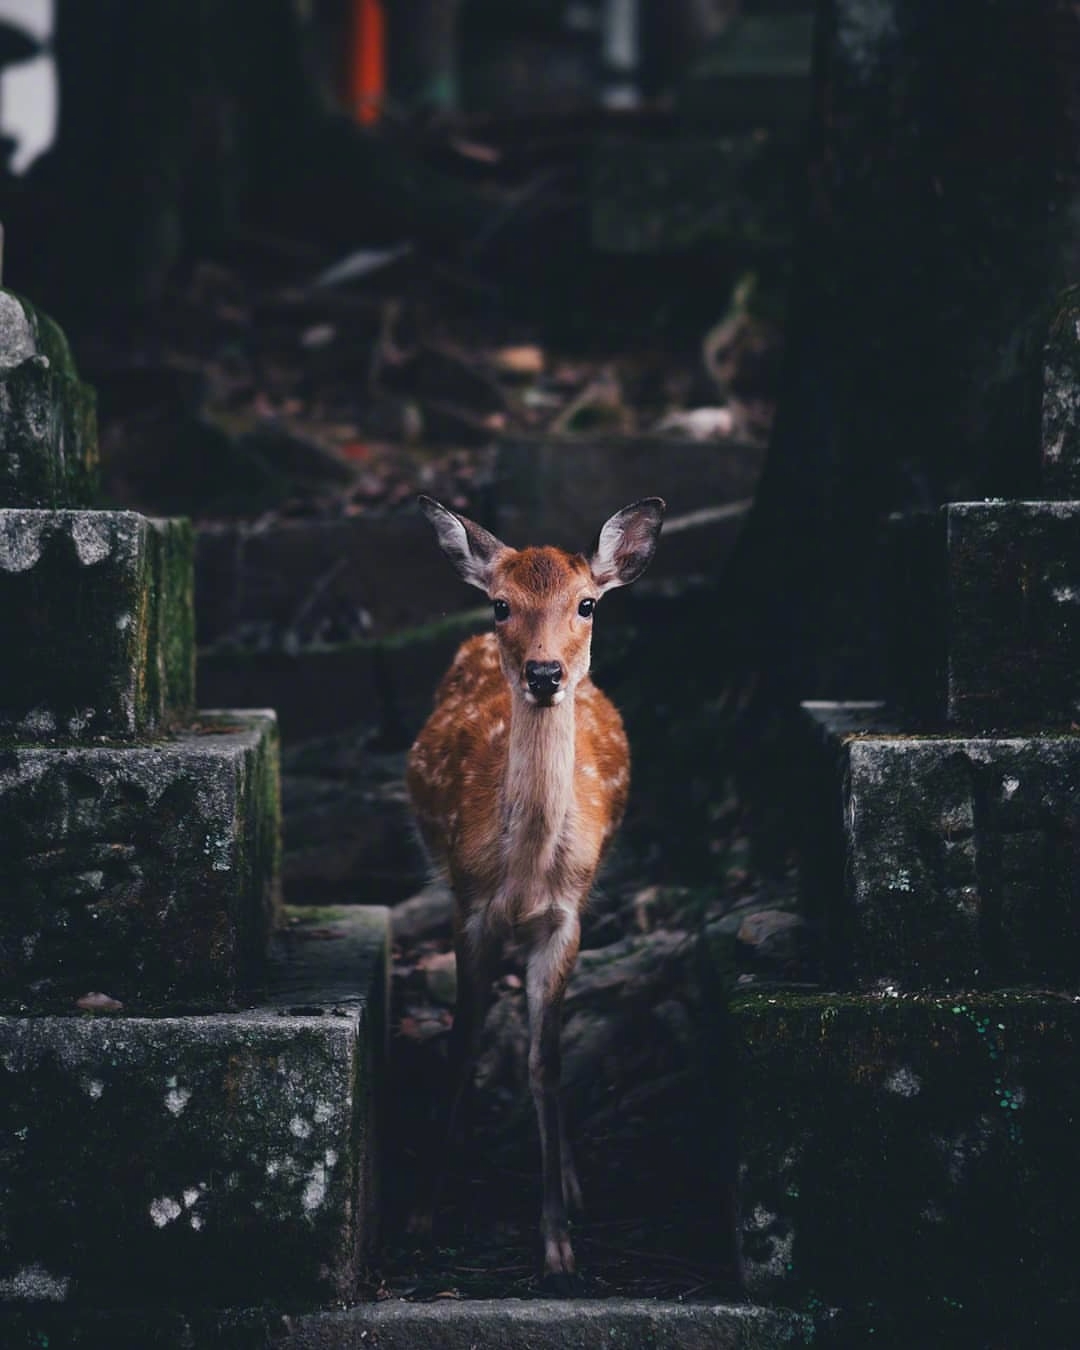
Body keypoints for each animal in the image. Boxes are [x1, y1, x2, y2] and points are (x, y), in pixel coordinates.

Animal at [405, 494, 661, 1274]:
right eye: (499, 604)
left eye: (587, 603)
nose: (545, 673)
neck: (521, 875)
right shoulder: (468, 907)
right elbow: (461, 1043)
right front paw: (423, 1212)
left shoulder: (565, 918)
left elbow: (546, 1062)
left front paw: (557, 1242)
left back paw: (574, 1182)